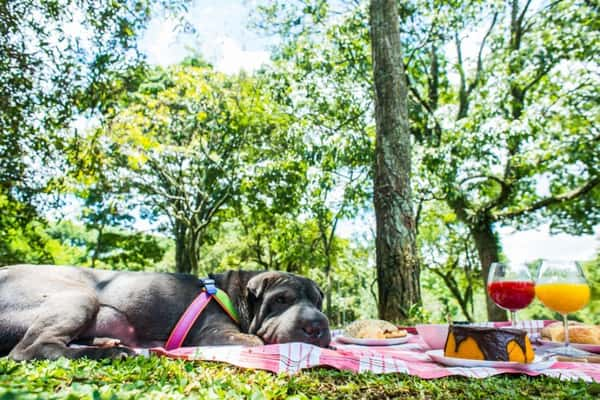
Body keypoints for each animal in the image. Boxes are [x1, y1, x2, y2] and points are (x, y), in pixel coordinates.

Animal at [0, 264, 330, 360]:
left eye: (318, 302)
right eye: (282, 299)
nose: (317, 326)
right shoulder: (215, 334)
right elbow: (258, 340)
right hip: (77, 295)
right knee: (30, 349)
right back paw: (111, 353)